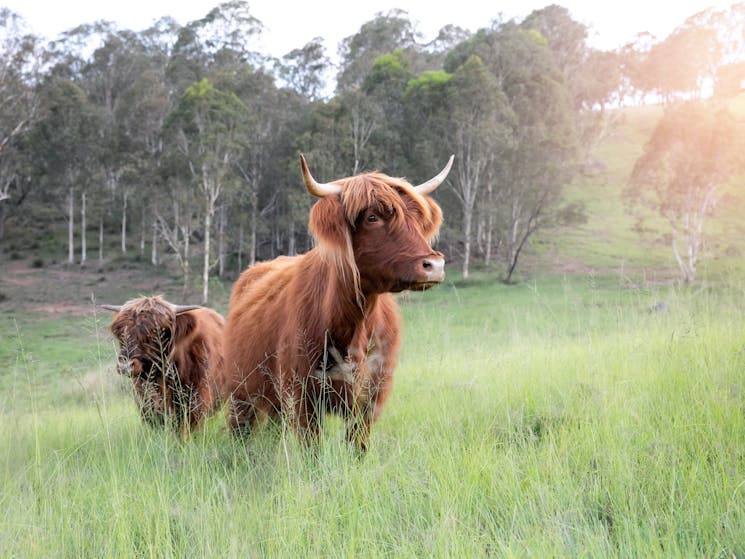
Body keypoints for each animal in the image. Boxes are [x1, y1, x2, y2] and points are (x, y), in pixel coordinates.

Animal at [221, 155, 450, 452]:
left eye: (417, 219)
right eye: (372, 217)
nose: (434, 265)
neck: (351, 326)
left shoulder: (369, 400)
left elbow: (357, 448)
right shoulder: (303, 398)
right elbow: (313, 452)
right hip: (241, 393)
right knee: (241, 432)